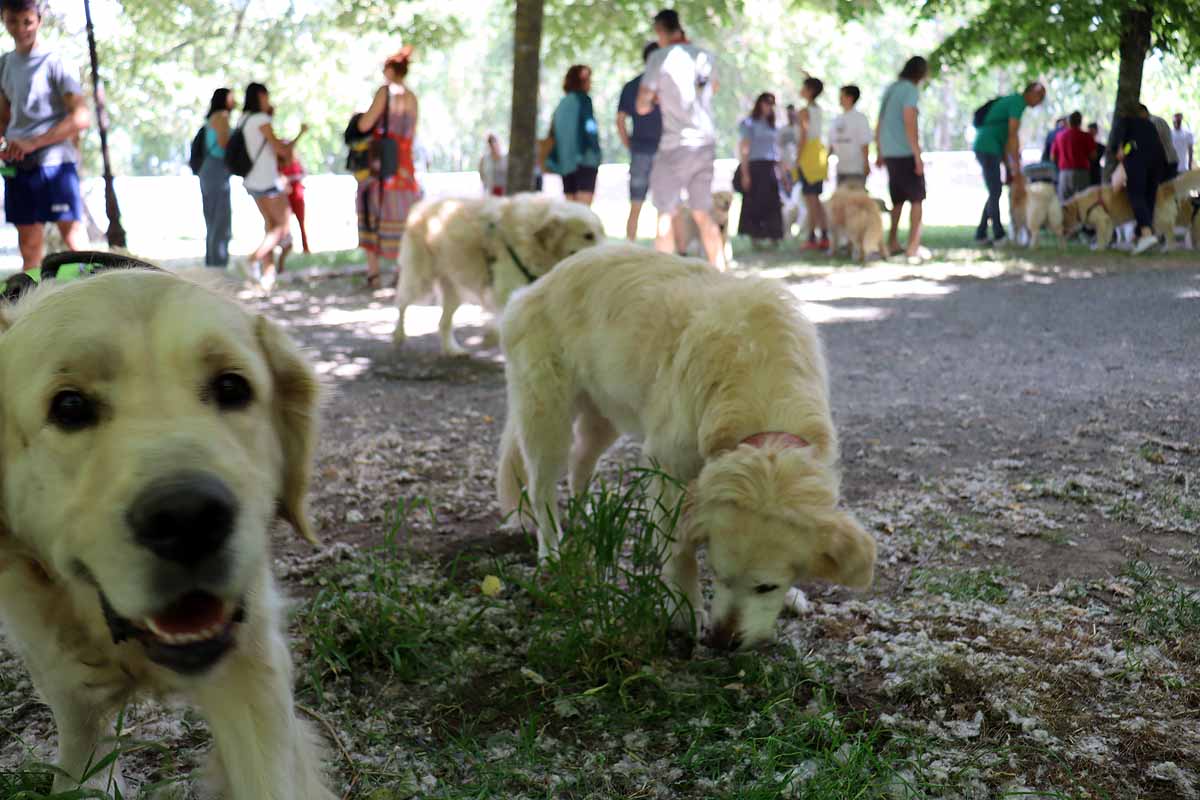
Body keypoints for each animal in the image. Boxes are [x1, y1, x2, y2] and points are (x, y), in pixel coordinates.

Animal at [393, 191, 604, 355]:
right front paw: (492, 339)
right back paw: (398, 336)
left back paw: (452, 350)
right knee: (402, 302)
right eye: (588, 235)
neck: (532, 239)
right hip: (420, 280)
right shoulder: (506, 291)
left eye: (602, 233)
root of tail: (421, 205)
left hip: (455, 289)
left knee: (443, 322)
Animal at [492, 247, 878, 652]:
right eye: (719, 574)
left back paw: (585, 517)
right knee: (541, 491)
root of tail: (535, 286)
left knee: (581, 458)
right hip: (546, 418)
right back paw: (551, 552)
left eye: (766, 586)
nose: (722, 642)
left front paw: (790, 596)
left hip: (605, 415)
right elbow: (679, 551)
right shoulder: (666, 467)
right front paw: (684, 612)